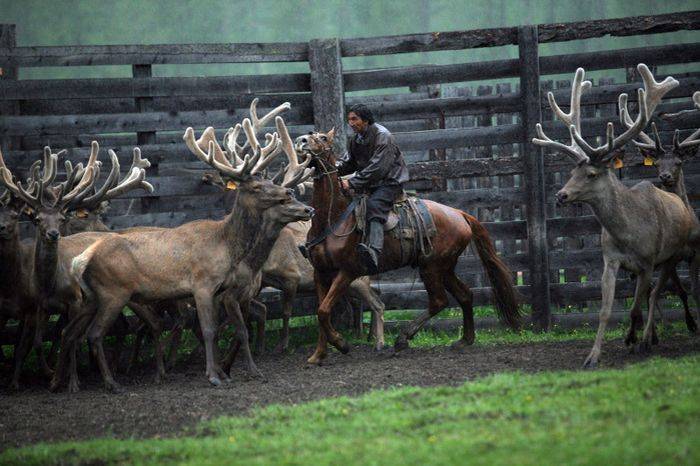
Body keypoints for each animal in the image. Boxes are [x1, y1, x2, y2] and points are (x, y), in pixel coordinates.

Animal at [68, 104, 314, 392]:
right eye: (256, 186)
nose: (289, 195)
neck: (225, 246)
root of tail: (81, 260)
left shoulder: (221, 289)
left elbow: (219, 329)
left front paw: (227, 372)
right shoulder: (202, 284)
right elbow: (209, 330)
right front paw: (214, 375)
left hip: (92, 297)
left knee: (76, 332)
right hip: (113, 292)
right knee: (95, 333)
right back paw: (112, 382)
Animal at [294, 129, 520, 362]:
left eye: (323, 138)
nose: (301, 141)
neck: (334, 217)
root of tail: (460, 214)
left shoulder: (347, 272)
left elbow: (323, 311)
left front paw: (341, 344)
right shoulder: (320, 273)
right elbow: (321, 312)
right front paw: (318, 355)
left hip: (431, 267)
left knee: (439, 301)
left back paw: (403, 338)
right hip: (445, 267)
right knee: (465, 295)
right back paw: (465, 340)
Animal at [536, 62, 688, 368]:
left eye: (592, 173)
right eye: (573, 171)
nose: (561, 195)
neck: (628, 233)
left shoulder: (647, 262)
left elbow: (635, 308)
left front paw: (631, 340)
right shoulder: (610, 259)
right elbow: (605, 310)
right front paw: (592, 356)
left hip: (671, 256)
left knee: (655, 295)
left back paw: (647, 339)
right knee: (652, 296)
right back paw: (650, 337)